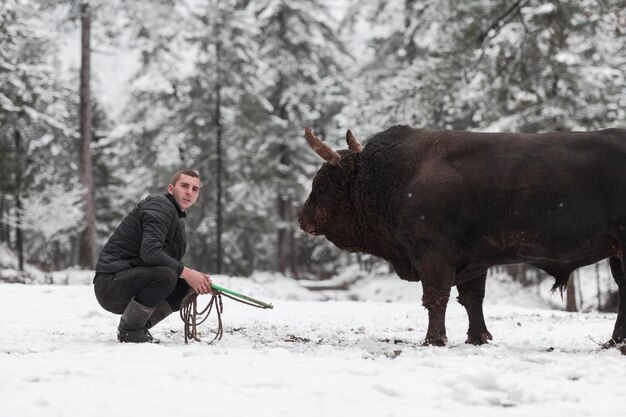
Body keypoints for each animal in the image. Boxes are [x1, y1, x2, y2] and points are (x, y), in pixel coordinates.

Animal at [298, 124, 624, 348]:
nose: (302, 218)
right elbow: (471, 299)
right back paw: (614, 342)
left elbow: (436, 297)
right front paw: (477, 337)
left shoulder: (433, 253)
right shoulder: (474, 260)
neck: (393, 174)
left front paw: (433, 339)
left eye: (322, 184)